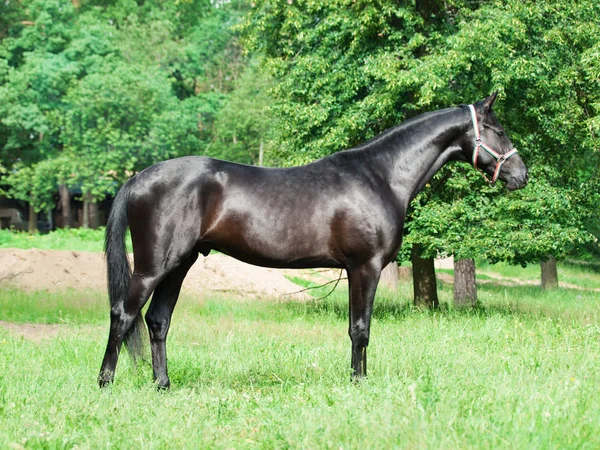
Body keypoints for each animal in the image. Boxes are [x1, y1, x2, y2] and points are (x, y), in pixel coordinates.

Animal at [97, 93, 524, 388]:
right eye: (500, 131)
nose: (522, 175)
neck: (380, 176)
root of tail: (137, 178)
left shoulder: (357, 269)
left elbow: (358, 327)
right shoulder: (364, 266)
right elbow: (360, 328)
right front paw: (359, 383)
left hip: (179, 264)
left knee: (157, 320)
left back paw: (162, 385)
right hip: (153, 266)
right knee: (123, 314)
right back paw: (105, 384)